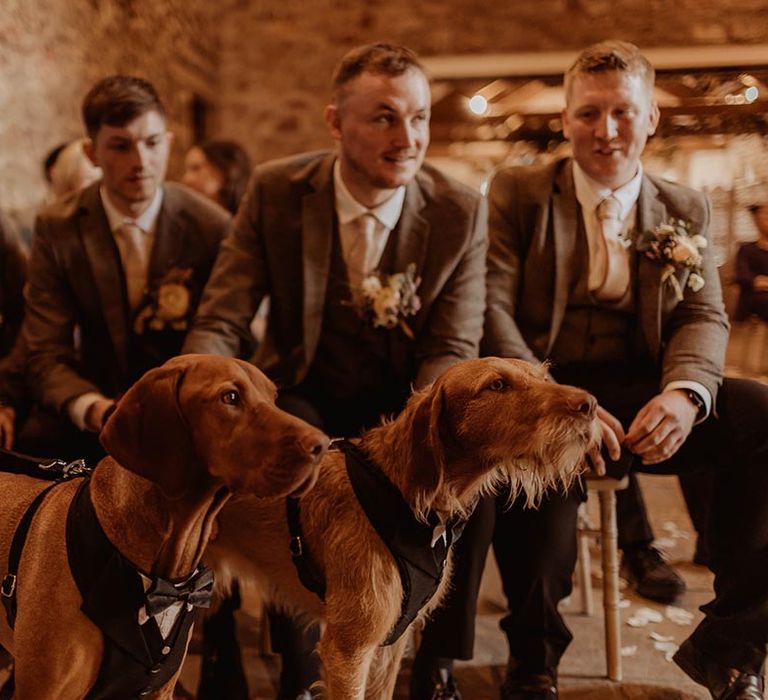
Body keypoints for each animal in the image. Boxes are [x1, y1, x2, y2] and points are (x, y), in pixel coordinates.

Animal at [208, 358, 600, 696]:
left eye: (543, 376)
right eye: (498, 384)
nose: (590, 405)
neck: (405, 494)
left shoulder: (391, 643)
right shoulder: (349, 650)